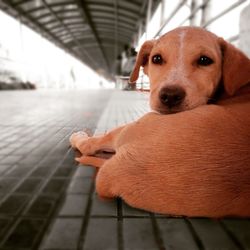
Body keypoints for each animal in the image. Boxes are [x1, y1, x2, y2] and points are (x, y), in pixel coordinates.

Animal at [70, 26, 250, 217]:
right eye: (156, 58)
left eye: (205, 60)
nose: (170, 95)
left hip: (133, 126)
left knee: (90, 145)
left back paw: (79, 137)